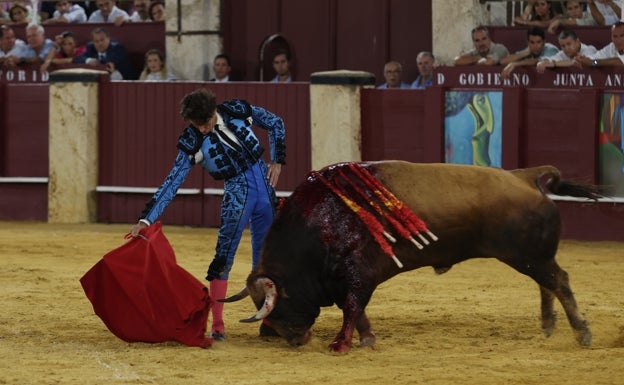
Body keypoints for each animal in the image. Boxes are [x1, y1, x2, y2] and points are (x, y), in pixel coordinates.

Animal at [222, 160, 596, 352]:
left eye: (276, 303)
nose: (295, 341)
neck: (318, 222)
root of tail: (524, 176)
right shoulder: (345, 279)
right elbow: (356, 310)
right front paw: (367, 339)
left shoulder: (357, 274)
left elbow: (352, 307)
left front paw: (341, 344)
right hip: (532, 257)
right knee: (547, 283)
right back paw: (548, 324)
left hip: (528, 255)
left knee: (559, 281)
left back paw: (581, 333)